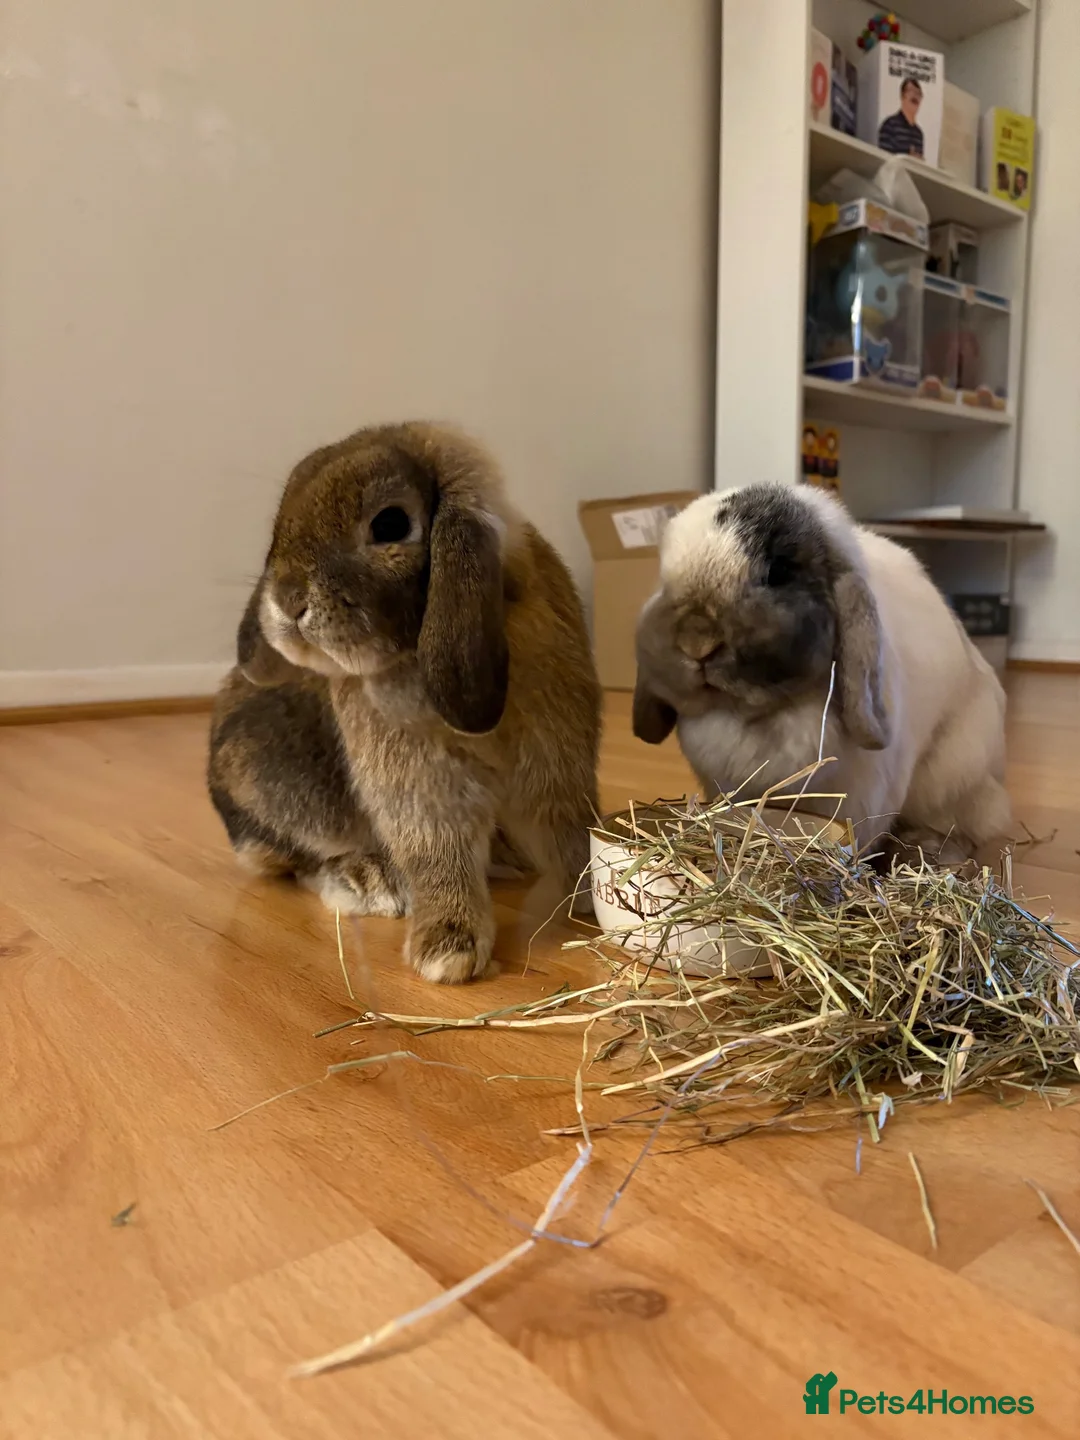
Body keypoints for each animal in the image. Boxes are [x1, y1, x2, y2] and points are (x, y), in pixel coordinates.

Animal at [208, 421, 601, 983]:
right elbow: (437, 851)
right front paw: (447, 950)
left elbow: (571, 829)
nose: (286, 600)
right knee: (294, 861)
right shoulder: (418, 785)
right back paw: (368, 880)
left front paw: (593, 894)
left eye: (390, 523)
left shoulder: (559, 761)